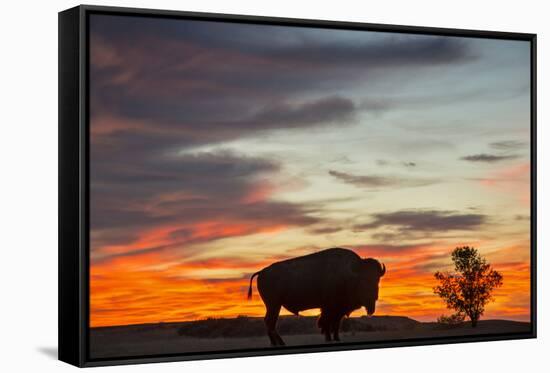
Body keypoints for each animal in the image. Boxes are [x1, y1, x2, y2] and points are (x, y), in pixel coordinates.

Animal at [248, 247, 386, 346]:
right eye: (363, 280)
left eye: (377, 279)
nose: (373, 297)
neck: (350, 274)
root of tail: (262, 272)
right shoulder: (329, 307)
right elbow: (326, 322)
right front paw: (329, 339)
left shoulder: (339, 309)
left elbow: (336, 324)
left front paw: (337, 339)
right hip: (274, 305)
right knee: (270, 322)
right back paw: (279, 343)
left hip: (274, 305)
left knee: (269, 322)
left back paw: (277, 343)